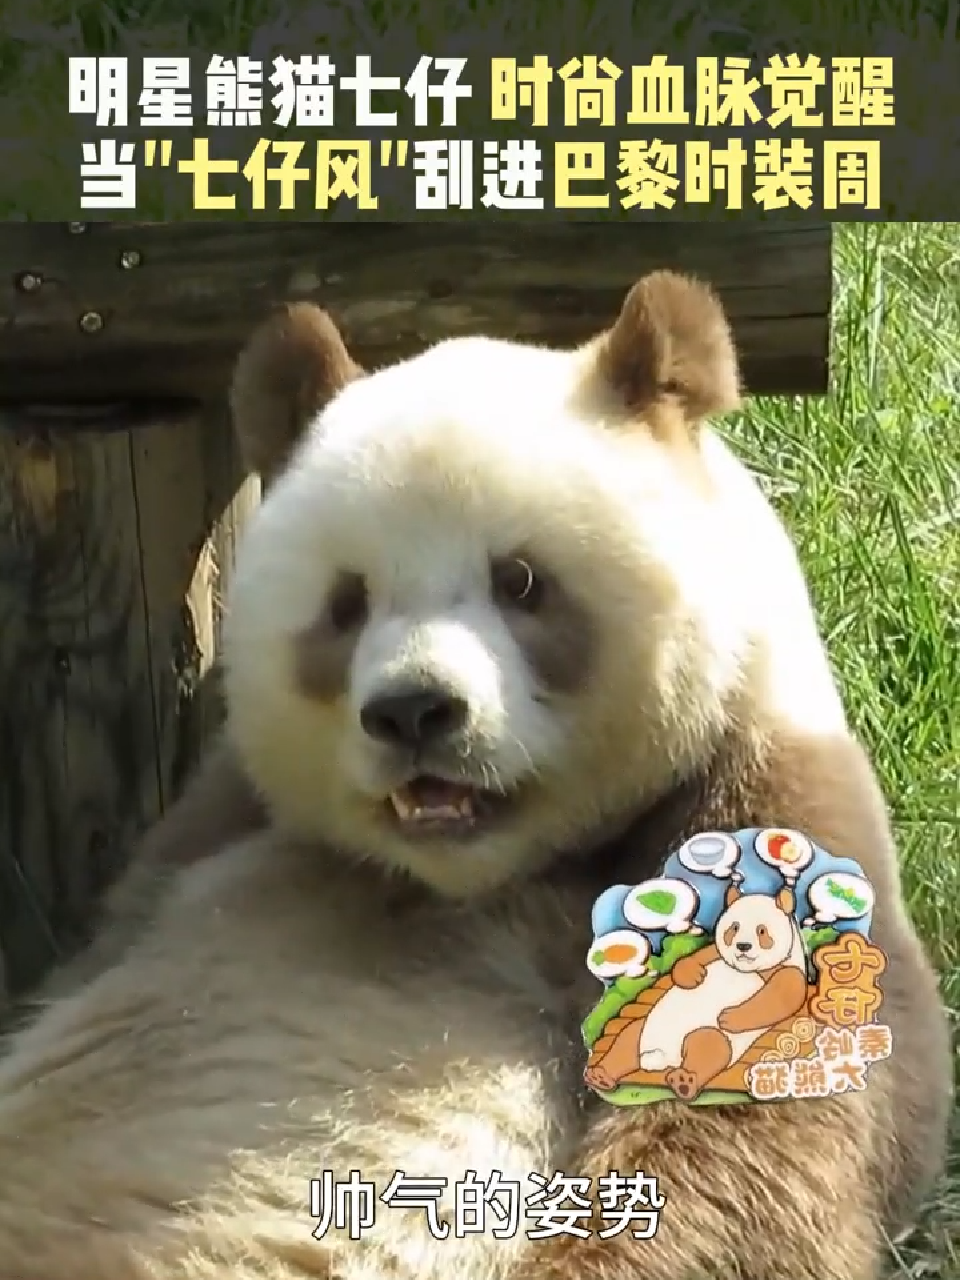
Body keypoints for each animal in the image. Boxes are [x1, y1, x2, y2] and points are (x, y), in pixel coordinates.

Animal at [0, 270, 951, 1280]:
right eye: (347, 602)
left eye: (520, 580)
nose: (414, 711)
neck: (471, 877)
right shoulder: (204, 835)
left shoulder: (757, 793)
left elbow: (749, 1142)